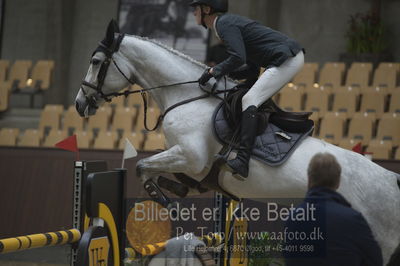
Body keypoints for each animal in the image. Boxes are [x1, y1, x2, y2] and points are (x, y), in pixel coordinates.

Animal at [76, 20, 400, 264]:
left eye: (95, 61)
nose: (80, 104)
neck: (187, 97)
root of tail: (392, 180)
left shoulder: (190, 156)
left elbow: (143, 167)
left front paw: (167, 202)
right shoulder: (188, 163)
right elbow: (157, 169)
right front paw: (176, 190)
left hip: (379, 241)